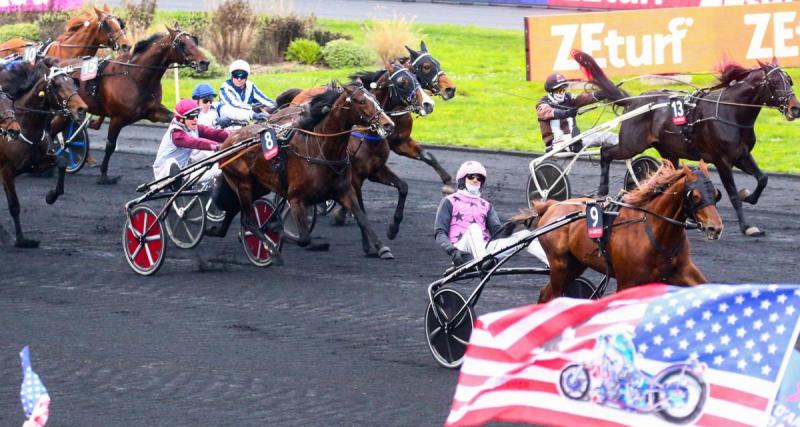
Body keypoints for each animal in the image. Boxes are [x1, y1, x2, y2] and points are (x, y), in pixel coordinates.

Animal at [0, 58, 88, 249]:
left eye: (73, 82)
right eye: (57, 84)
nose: (81, 109)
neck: (24, 126)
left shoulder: (34, 164)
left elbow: (62, 161)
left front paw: (51, 196)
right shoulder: (6, 170)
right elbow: (14, 205)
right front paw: (21, 240)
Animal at [217, 80, 396, 260]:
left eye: (375, 98)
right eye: (361, 101)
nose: (388, 124)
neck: (321, 149)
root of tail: (227, 141)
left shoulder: (345, 191)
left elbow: (362, 218)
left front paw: (382, 247)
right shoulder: (296, 198)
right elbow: (303, 238)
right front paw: (275, 229)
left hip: (259, 186)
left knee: (241, 212)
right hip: (243, 184)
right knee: (249, 221)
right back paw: (272, 250)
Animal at [516, 160, 728, 304]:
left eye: (716, 194)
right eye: (695, 195)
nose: (715, 228)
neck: (653, 232)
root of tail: (551, 206)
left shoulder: (682, 270)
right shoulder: (628, 281)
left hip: (575, 264)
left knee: (547, 293)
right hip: (560, 265)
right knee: (551, 296)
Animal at [576, 51, 800, 237]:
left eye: (789, 80)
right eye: (774, 82)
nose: (795, 108)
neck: (730, 112)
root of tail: (633, 101)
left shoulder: (742, 155)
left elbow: (763, 179)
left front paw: (748, 196)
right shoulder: (722, 161)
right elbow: (733, 195)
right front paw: (747, 227)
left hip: (669, 152)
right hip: (631, 144)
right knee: (605, 152)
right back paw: (602, 190)